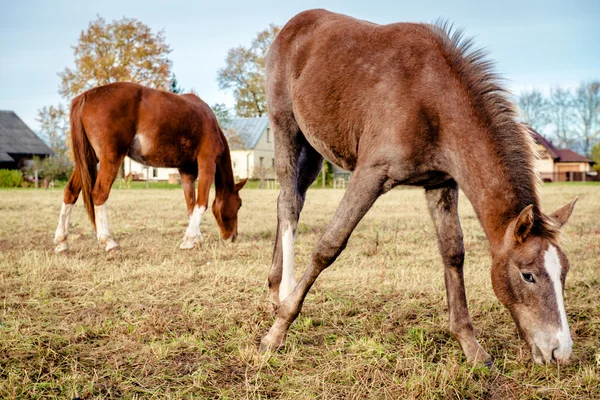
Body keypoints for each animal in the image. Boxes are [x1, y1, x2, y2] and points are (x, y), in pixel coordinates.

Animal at [53, 82, 246, 252]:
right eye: (239, 204)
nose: (233, 236)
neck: (208, 121)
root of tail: (86, 96)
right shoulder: (207, 162)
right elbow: (201, 203)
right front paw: (190, 240)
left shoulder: (187, 171)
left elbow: (190, 205)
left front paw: (195, 238)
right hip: (111, 158)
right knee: (99, 194)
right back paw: (108, 241)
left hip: (88, 159)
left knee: (70, 192)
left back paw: (62, 241)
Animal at [262, 9, 576, 366]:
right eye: (528, 275)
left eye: (564, 272)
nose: (561, 351)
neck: (431, 98)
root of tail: (293, 24)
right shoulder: (370, 174)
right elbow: (329, 244)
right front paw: (277, 331)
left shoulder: (441, 183)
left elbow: (453, 252)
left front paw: (471, 346)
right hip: (285, 126)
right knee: (289, 203)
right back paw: (284, 291)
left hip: (314, 150)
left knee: (289, 200)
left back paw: (274, 290)